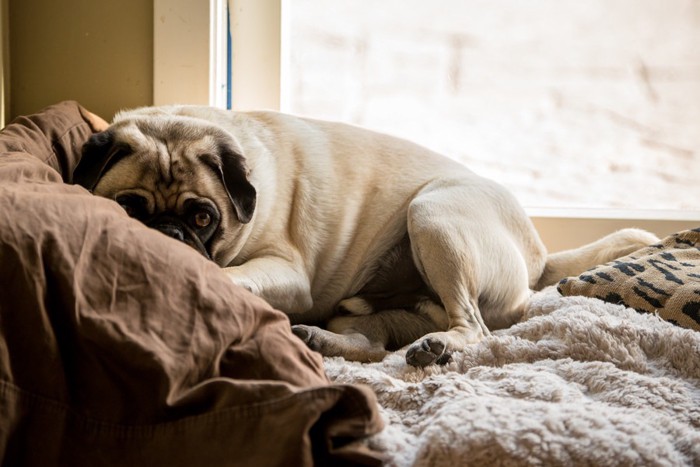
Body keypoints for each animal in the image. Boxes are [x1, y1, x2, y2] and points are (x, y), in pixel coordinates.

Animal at [72, 107, 656, 370]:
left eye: (201, 219)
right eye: (129, 208)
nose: (168, 233)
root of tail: (537, 258)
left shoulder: (288, 275)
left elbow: (232, 275)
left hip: (432, 215)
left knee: (476, 327)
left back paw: (439, 346)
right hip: (378, 299)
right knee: (374, 344)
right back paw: (321, 340)